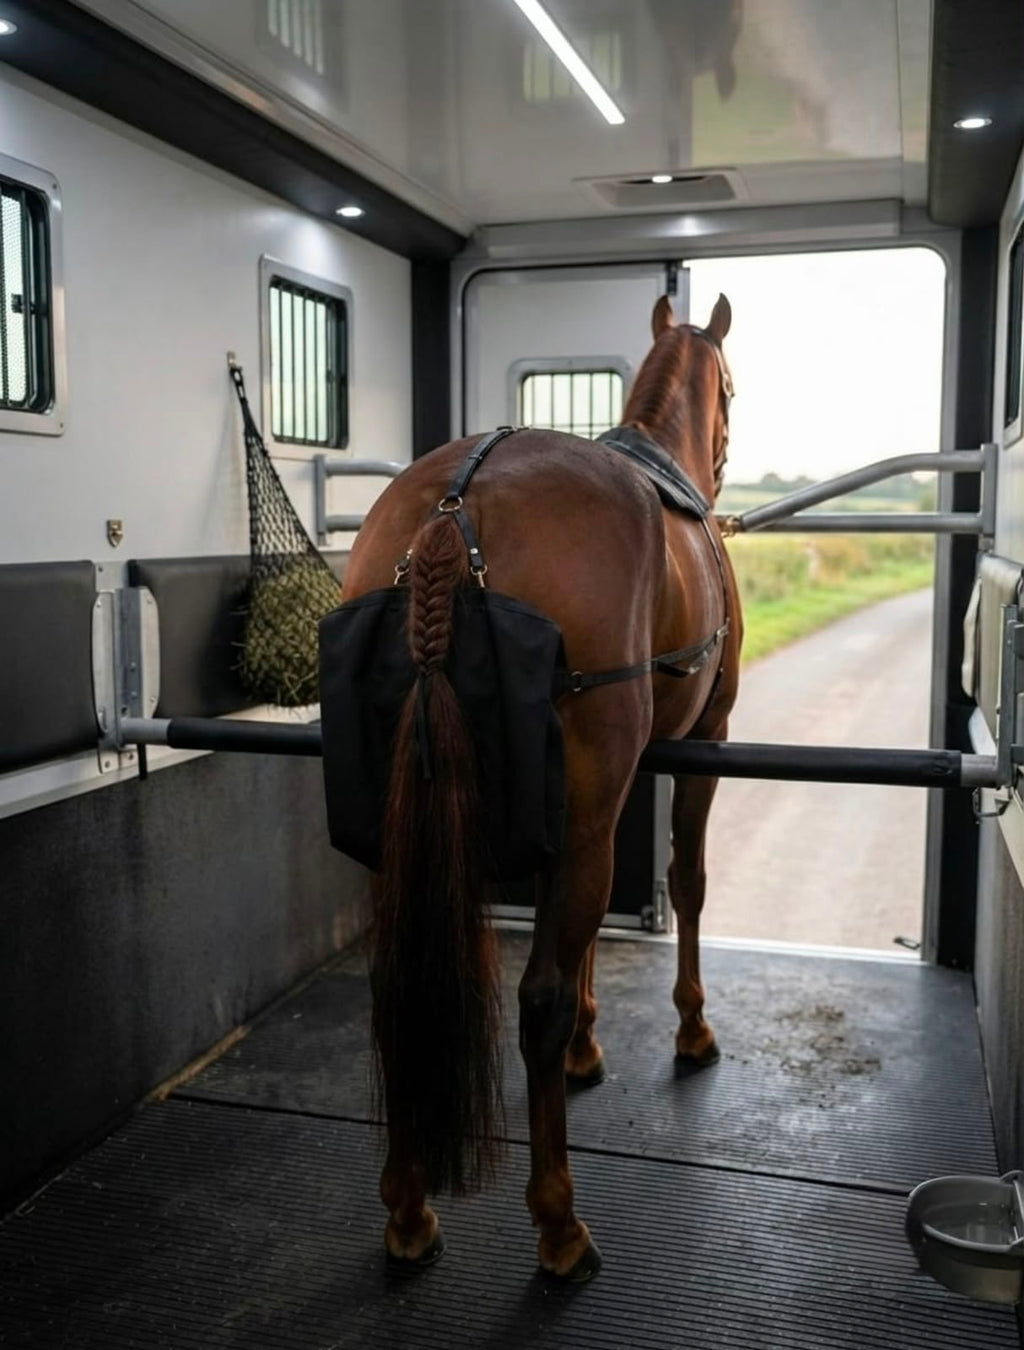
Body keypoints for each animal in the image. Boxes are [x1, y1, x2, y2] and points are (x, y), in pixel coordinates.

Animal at [331, 294, 741, 1283]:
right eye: (735, 389)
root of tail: (453, 511)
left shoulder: (608, 789)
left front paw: (593, 1045)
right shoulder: (699, 745)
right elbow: (687, 884)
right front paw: (689, 1030)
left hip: (401, 824)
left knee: (395, 985)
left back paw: (408, 1208)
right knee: (536, 1000)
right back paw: (559, 1225)